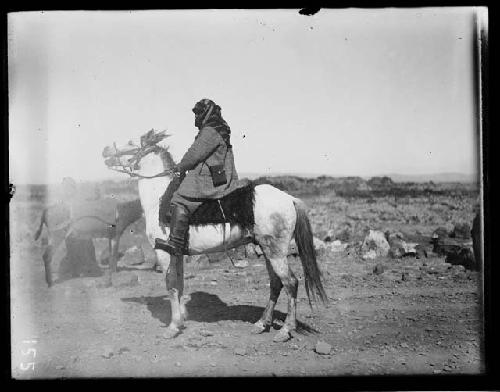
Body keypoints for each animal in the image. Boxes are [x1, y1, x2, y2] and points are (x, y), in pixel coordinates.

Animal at [102, 130, 328, 342]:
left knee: (291, 283)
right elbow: (180, 285)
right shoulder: (178, 254)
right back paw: (262, 323)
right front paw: (181, 319)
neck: (159, 199)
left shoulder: (164, 253)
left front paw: (173, 327)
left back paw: (285, 330)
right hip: (267, 251)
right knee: (276, 283)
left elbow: (171, 285)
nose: (105, 151)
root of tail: (289, 198)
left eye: (131, 142)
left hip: (276, 252)